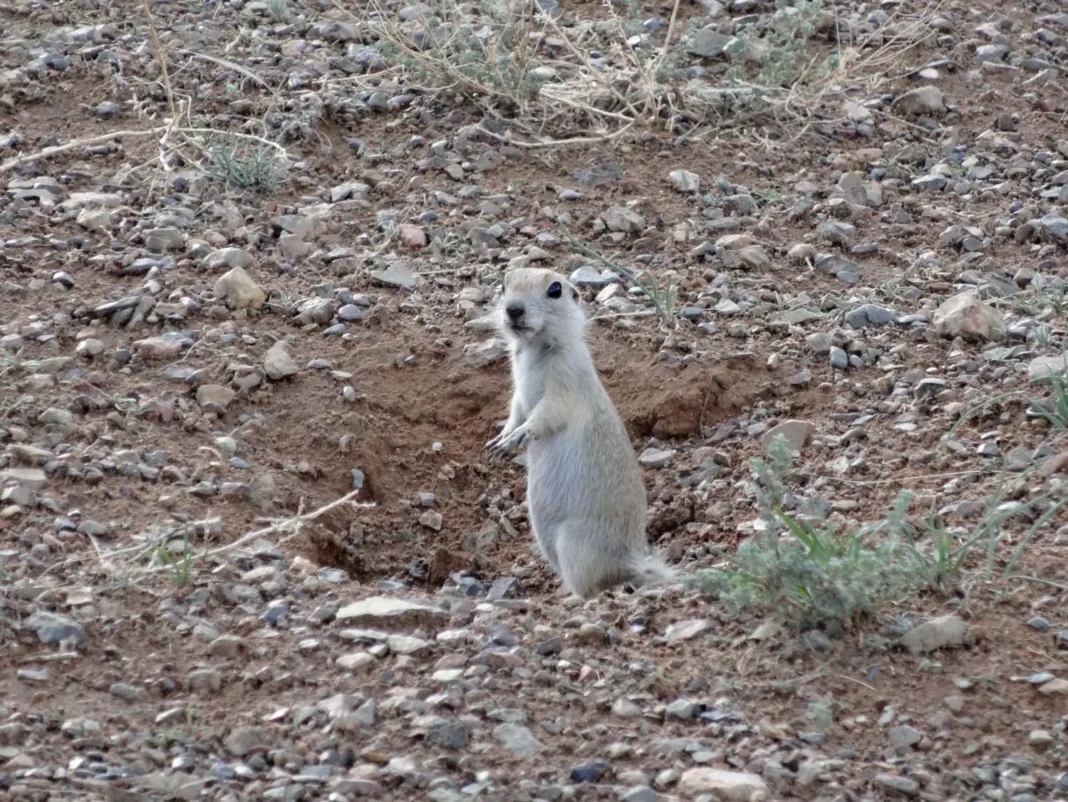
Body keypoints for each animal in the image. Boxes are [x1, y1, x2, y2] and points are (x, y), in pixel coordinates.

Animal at [487, 266, 674, 598]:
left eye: (555, 289)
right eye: (504, 284)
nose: (514, 310)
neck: (536, 348)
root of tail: (628, 564)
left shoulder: (564, 386)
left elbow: (544, 414)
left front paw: (518, 436)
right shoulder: (519, 390)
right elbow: (516, 410)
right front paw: (500, 439)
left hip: (573, 545)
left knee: (593, 588)